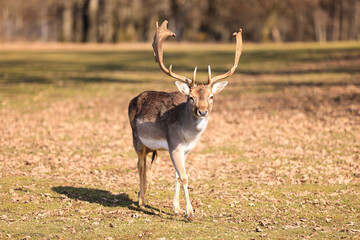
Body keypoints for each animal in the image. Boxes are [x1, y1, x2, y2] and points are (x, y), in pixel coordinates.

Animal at [128, 20, 243, 219]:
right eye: (191, 97)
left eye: (211, 96)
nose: (202, 111)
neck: (188, 136)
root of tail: (132, 100)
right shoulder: (174, 144)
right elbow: (184, 176)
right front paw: (189, 213)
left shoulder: (187, 150)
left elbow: (176, 175)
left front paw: (176, 208)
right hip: (136, 139)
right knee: (140, 164)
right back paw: (141, 201)